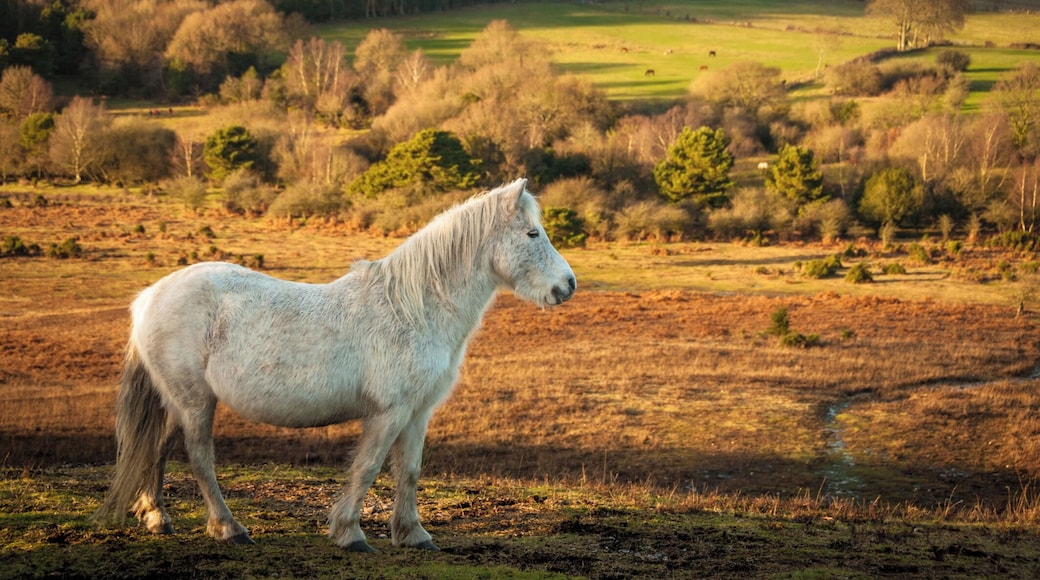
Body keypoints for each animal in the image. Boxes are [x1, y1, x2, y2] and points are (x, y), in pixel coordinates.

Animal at [92, 178, 576, 553]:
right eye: (533, 234)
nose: (568, 285)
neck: (413, 309)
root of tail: (150, 295)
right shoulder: (389, 412)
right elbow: (368, 468)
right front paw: (349, 533)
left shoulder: (417, 413)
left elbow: (410, 471)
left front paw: (413, 534)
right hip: (194, 402)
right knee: (198, 459)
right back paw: (229, 529)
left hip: (175, 400)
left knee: (157, 449)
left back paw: (157, 518)